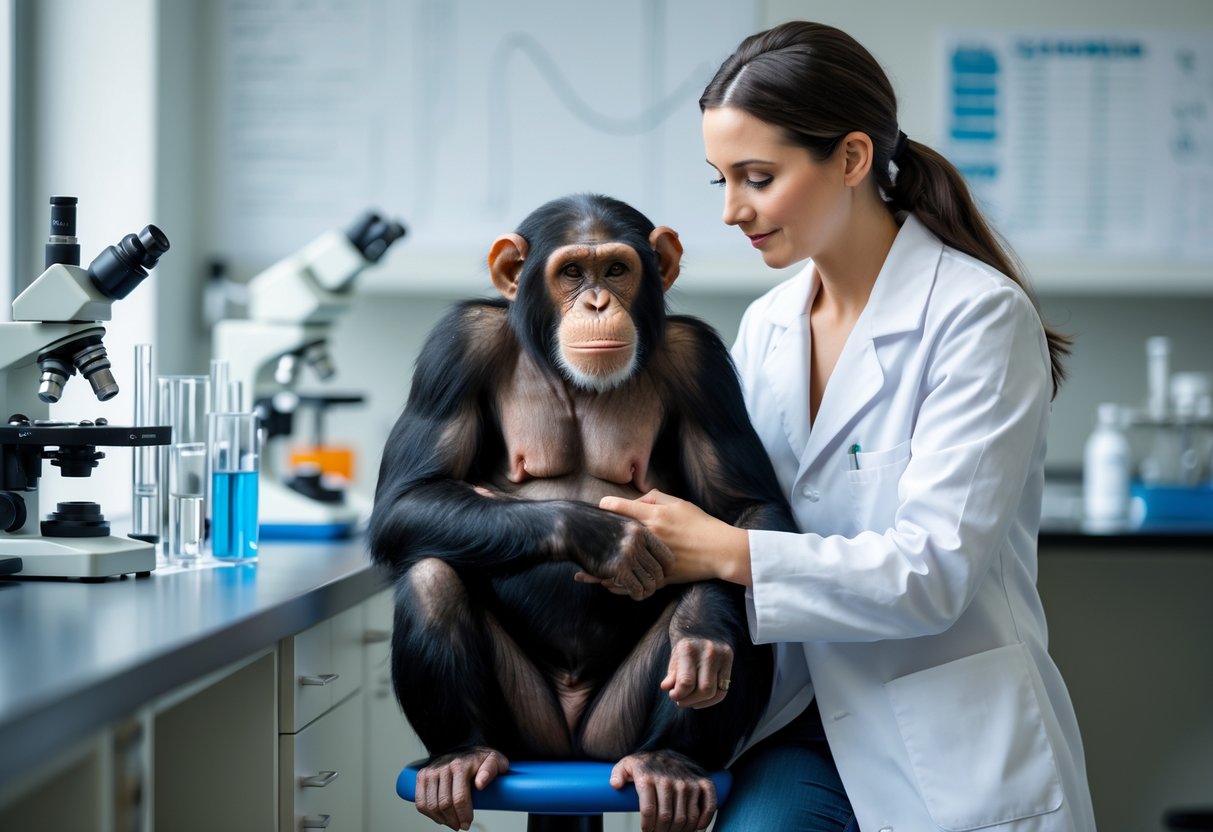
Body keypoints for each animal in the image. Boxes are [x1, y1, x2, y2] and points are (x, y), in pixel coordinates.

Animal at [369, 193, 798, 832]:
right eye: (572, 272)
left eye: (617, 269)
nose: (597, 302)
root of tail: (570, 760)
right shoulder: (457, 347)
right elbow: (406, 500)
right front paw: (605, 537)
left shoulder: (702, 364)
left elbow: (745, 508)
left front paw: (701, 634)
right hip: (529, 733)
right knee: (429, 575)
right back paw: (461, 755)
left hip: (610, 736)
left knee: (745, 591)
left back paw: (671, 761)